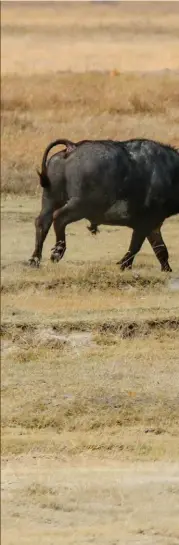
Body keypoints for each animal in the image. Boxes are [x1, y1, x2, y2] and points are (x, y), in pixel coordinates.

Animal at [28, 138, 178, 270]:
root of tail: (72, 148)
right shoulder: (146, 222)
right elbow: (136, 246)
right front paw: (124, 265)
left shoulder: (153, 225)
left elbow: (160, 250)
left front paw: (167, 269)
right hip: (80, 205)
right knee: (59, 218)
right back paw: (57, 252)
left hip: (50, 200)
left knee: (42, 222)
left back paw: (34, 260)